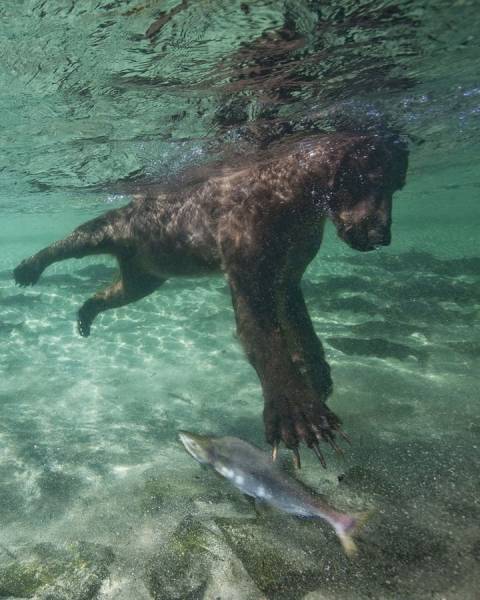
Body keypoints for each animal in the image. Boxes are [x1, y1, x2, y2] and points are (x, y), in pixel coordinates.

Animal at [12, 134, 408, 466]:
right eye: (370, 178)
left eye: (398, 186)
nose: (382, 234)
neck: (297, 199)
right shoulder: (249, 264)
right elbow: (264, 340)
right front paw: (300, 415)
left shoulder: (288, 274)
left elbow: (301, 327)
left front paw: (318, 376)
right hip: (111, 230)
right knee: (71, 242)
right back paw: (27, 268)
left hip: (146, 277)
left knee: (113, 292)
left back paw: (85, 315)